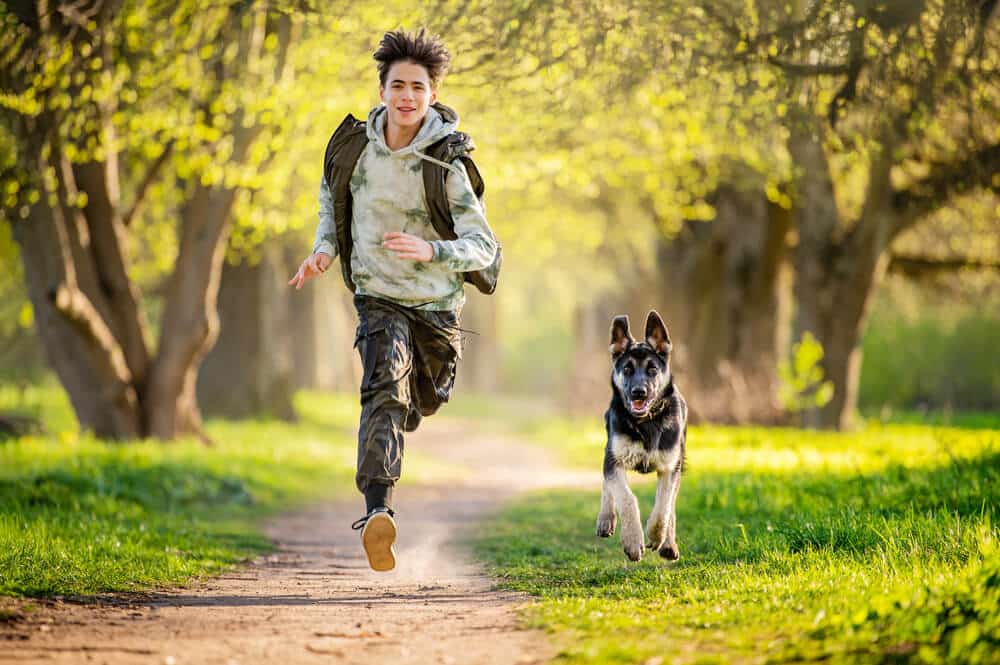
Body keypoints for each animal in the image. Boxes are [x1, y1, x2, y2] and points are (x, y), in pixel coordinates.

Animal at [592, 312, 688, 560]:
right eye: (627, 369)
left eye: (652, 369)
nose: (638, 392)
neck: (646, 422)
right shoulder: (614, 459)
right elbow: (626, 498)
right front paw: (633, 541)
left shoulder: (670, 467)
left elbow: (664, 507)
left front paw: (656, 535)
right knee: (607, 485)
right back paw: (606, 518)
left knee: (671, 504)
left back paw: (668, 543)